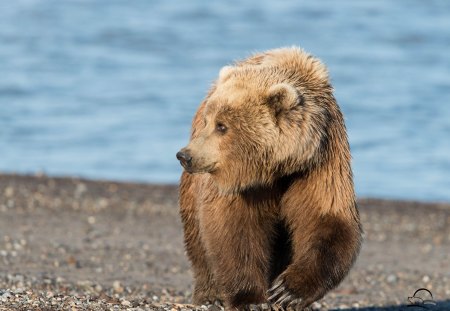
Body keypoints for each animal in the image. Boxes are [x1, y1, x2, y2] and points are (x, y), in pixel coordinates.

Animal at [176, 47, 362, 311]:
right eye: (207, 121)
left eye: (222, 126)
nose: (185, 155)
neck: (278, 168)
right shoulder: (242, 185)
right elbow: (235, 227)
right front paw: (250, 299)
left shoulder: (319, 163)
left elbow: (327, 218)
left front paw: (287, 290)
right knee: (197, 237)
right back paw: (210, 295)